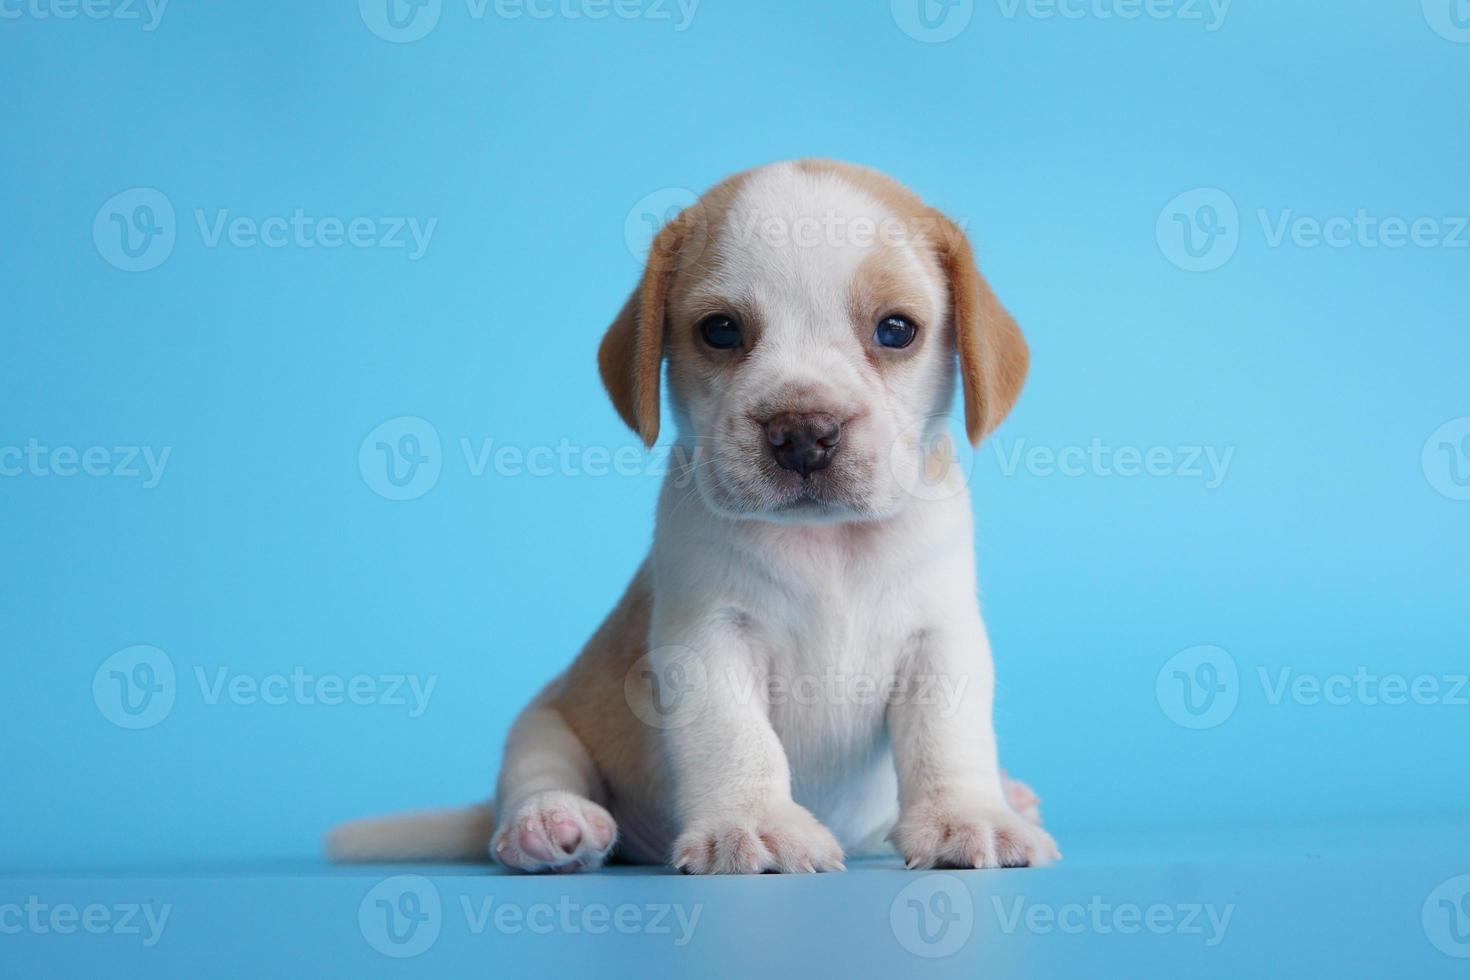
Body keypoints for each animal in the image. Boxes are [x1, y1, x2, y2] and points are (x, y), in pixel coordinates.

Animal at [330, 159, 1058, 875]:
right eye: (721, 330)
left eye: (896, 329)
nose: (803, 433)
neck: (825, 546)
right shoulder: (709, 641)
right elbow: (736, 739)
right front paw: (755, 823)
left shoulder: (941, 641)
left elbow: (948, 740)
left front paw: (969, 816)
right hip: (543, 722)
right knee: (535, 778)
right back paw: (547, 824)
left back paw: (1011, 796)